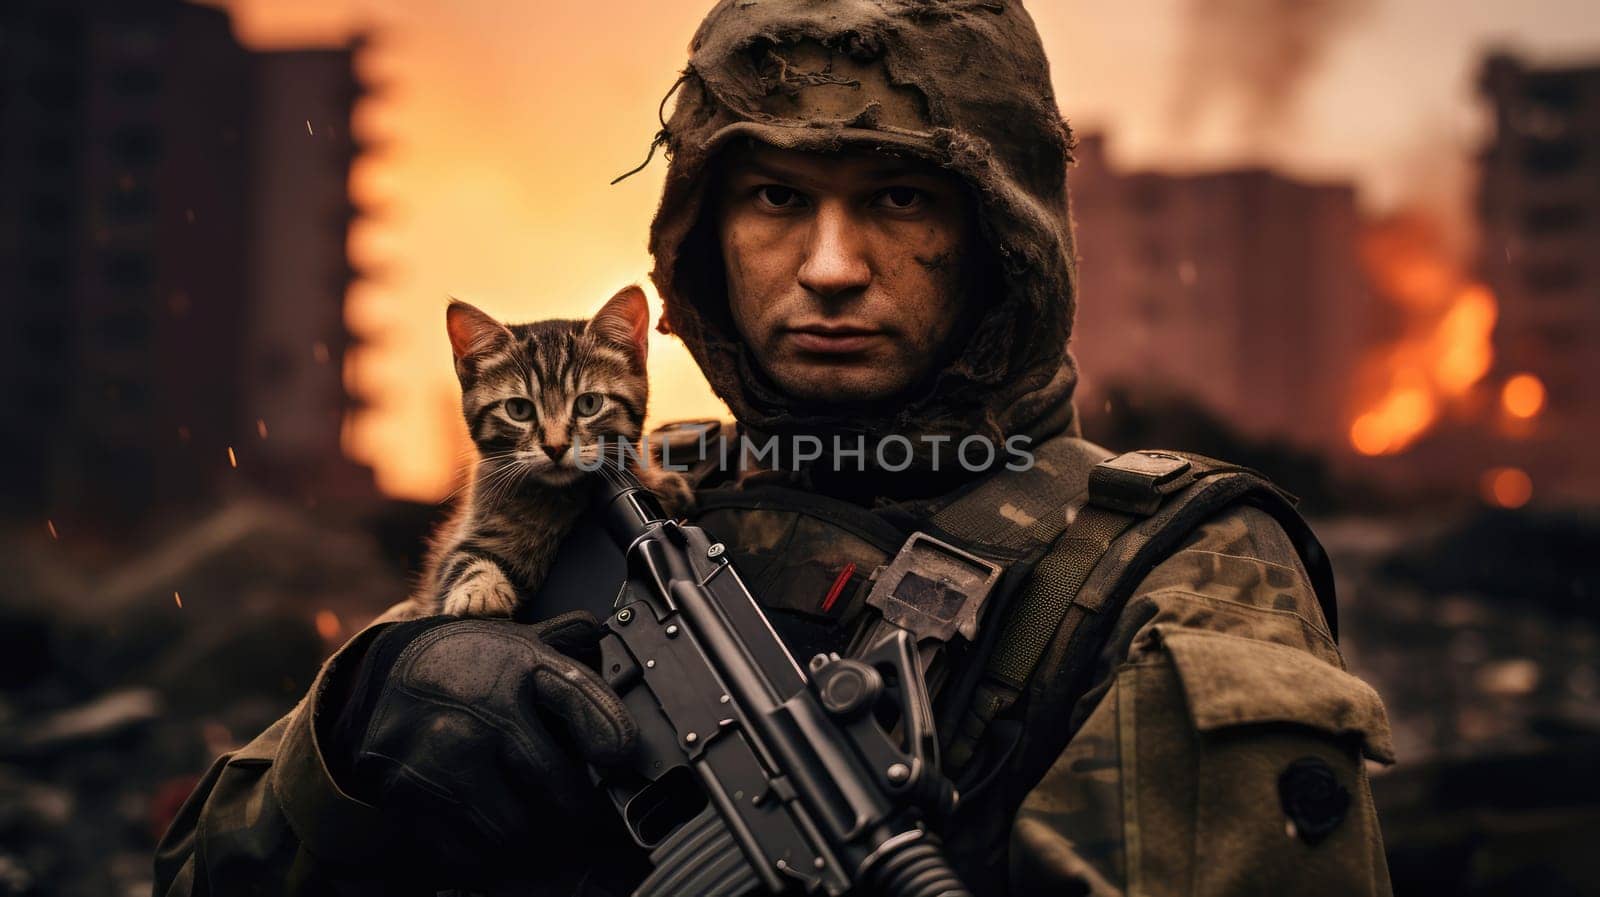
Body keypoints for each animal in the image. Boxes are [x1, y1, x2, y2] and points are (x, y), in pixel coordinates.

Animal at [412, 286, 688, 613]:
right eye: (518, 410)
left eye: (589, 403)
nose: (555, 447)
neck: (558, 499)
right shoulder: (466, 535)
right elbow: (461, 558)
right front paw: (480, 590)